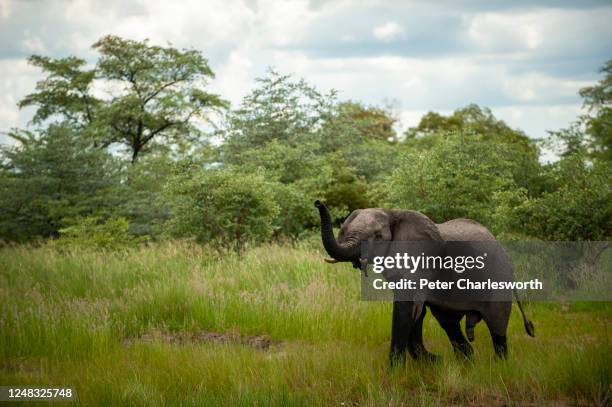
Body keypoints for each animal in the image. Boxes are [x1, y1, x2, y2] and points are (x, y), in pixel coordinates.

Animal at [314, 201, 532, 364]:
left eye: (378, 237)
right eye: (345, 231)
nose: (318, 202)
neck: (392, 213)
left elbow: (406, 309)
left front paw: (395, 374)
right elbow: (415, 311)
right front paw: (431, 361)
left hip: (498, 278)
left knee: (497, 324)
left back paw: (499, 365)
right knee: (448, 323)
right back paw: (466, 361)